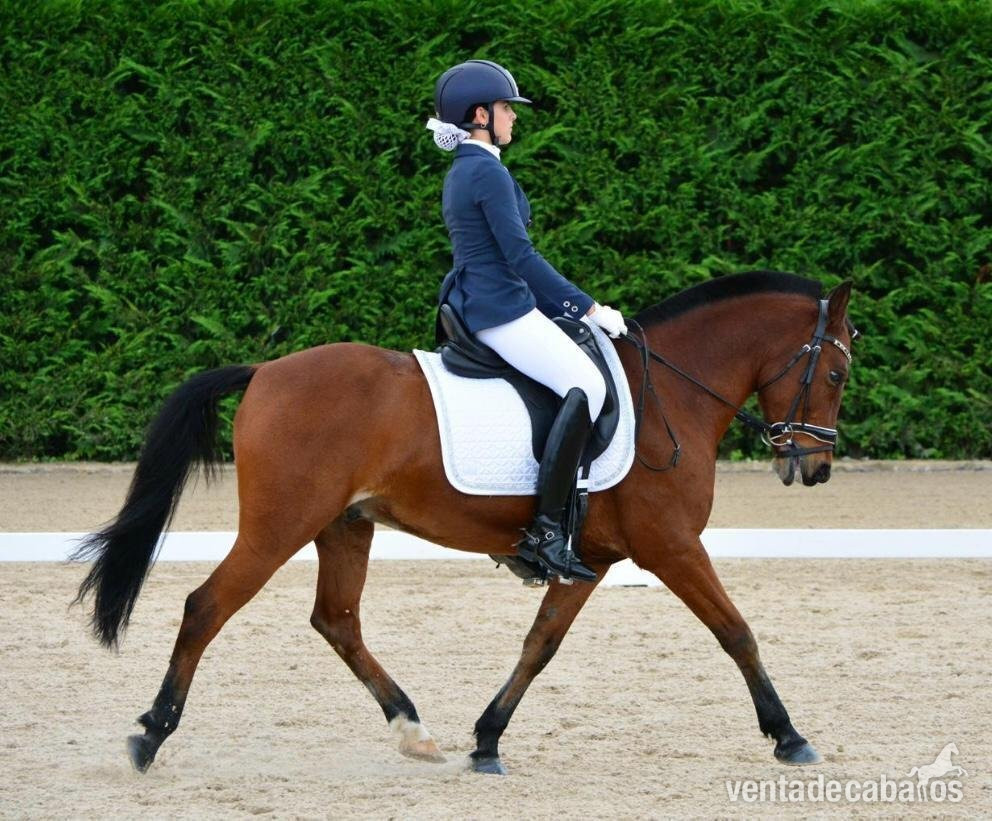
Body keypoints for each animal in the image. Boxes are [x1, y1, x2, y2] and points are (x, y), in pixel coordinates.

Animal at [72, 271, 855, 775]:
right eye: (839, 373)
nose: (814, 466)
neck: (673, 391)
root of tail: (265, 370)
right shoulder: (671, 546)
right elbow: (737, 631)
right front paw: (789, 736)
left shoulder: (592, 558)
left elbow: (540, 644)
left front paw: (487, 739)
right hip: (279, 525)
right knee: (207, 606)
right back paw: (151, 733)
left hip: (344, 524)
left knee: (337, 620)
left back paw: (414, 729)